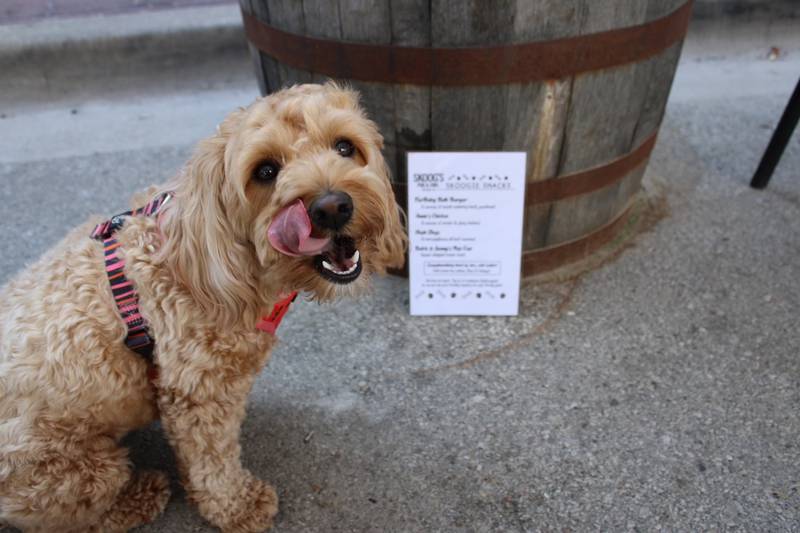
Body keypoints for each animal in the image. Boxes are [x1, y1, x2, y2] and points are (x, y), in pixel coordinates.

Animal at [0, 83, 406, 532]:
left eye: (345, 147)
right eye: (266, 171)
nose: (332, 206)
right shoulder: (198, 394)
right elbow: (212, 463)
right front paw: (236, 506)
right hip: (72, 470)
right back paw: (135, 498)